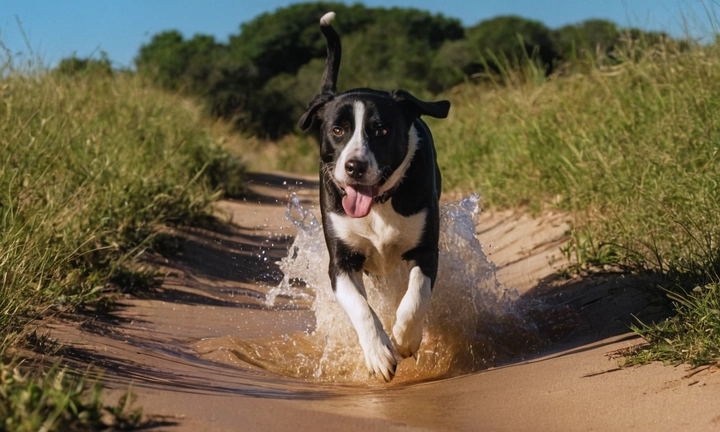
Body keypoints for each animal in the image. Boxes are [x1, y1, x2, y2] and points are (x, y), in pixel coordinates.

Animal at [298, 11, 450, 382]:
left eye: (381, 130)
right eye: (337, 130)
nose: (354, 166)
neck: (379, 204)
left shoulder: (426, 249)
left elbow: (416, 293)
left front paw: (406, 337)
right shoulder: (340, 263)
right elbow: (360, 307)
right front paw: (379, 352)